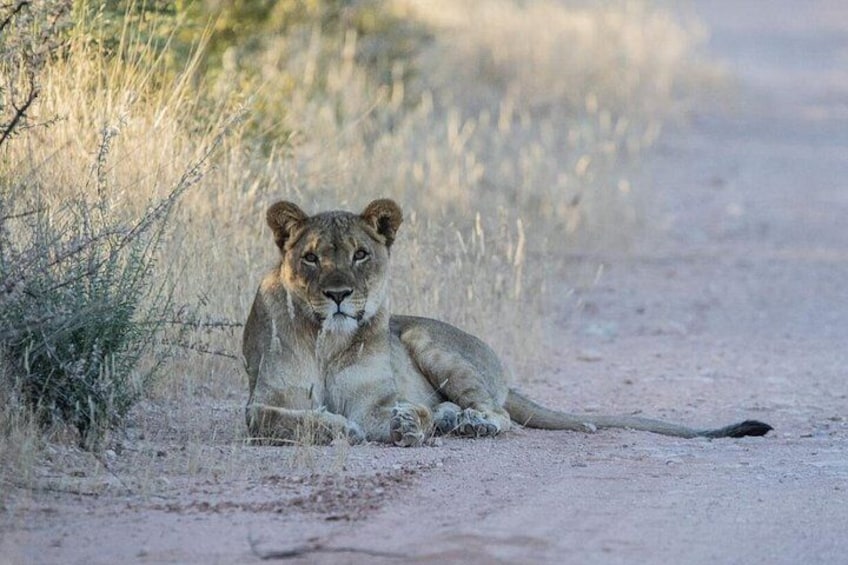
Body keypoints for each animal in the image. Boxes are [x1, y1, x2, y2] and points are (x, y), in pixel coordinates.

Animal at [243, 198, 772, 446]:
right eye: (311, 258)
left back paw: (466, 422)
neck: (330, 341)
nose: (338, 295)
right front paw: (335, 426)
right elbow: (279, 419)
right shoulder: (262, 404)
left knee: (500, 415)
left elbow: (399, 413)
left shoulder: (376, 402)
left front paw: (411, 424)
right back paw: (453, 419)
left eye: (360, 254)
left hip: (428, 339)